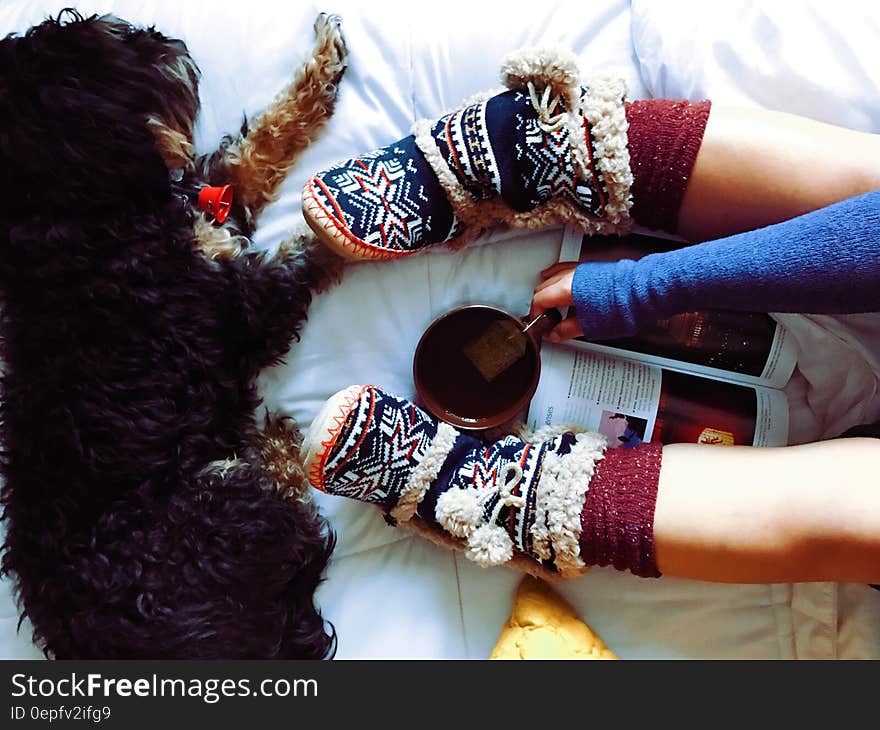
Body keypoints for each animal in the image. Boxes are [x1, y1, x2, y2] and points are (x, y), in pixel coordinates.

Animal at [0, 8, 348, 656]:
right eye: (102, 52)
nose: (167, 43)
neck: (76, 214)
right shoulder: (244, 305)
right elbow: (310, 246)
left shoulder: (214, 203)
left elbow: (261, 143)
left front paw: (324, 59)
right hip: (226, 498)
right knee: (298, 512)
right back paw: (276, 441)